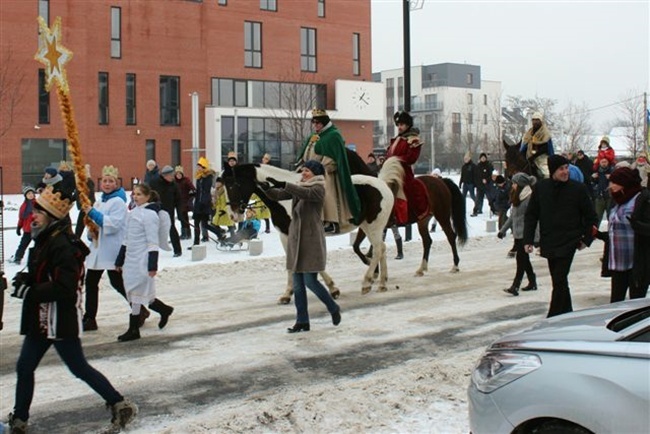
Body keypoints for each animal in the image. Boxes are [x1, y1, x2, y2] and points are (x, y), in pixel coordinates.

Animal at [220, 161, 392, 304]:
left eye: (233, 184)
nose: (233, 216)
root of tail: (383, 185)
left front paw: (333, 288)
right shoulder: (285, 235)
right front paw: (288, 294)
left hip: (373, 226)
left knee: (378, 249)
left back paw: (367, 282)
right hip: (369, 227)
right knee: (382, 248)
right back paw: (382, 283)